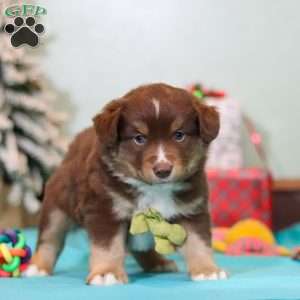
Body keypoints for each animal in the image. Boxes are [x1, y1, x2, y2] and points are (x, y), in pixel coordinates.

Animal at [23, 83, 226, 284]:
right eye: (139, 139)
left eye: (179, 135)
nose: (163, 170)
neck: (154, 189)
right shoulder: (104, 210)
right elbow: (108, 247)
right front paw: (106, 272)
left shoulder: (192, 209)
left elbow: (199, 243)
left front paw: (207, 270)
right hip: (56, 208)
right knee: (49, 239)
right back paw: (38, 267)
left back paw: (158, 263)